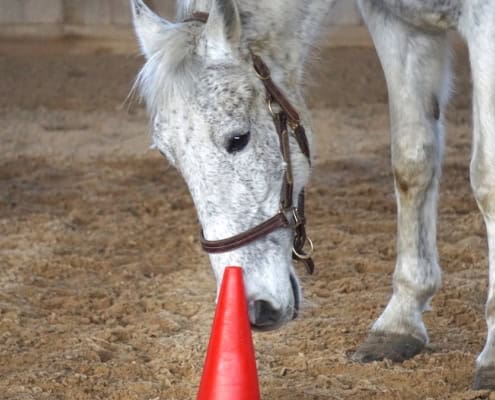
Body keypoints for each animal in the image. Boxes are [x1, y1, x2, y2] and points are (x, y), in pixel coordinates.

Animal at [131, 0, 495, 390]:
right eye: (169, 157)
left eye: (238, 138)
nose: (254, 309)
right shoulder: (400, 26)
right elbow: (413, 162)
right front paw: (400, 322)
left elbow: (487, 180)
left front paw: (490, 357)